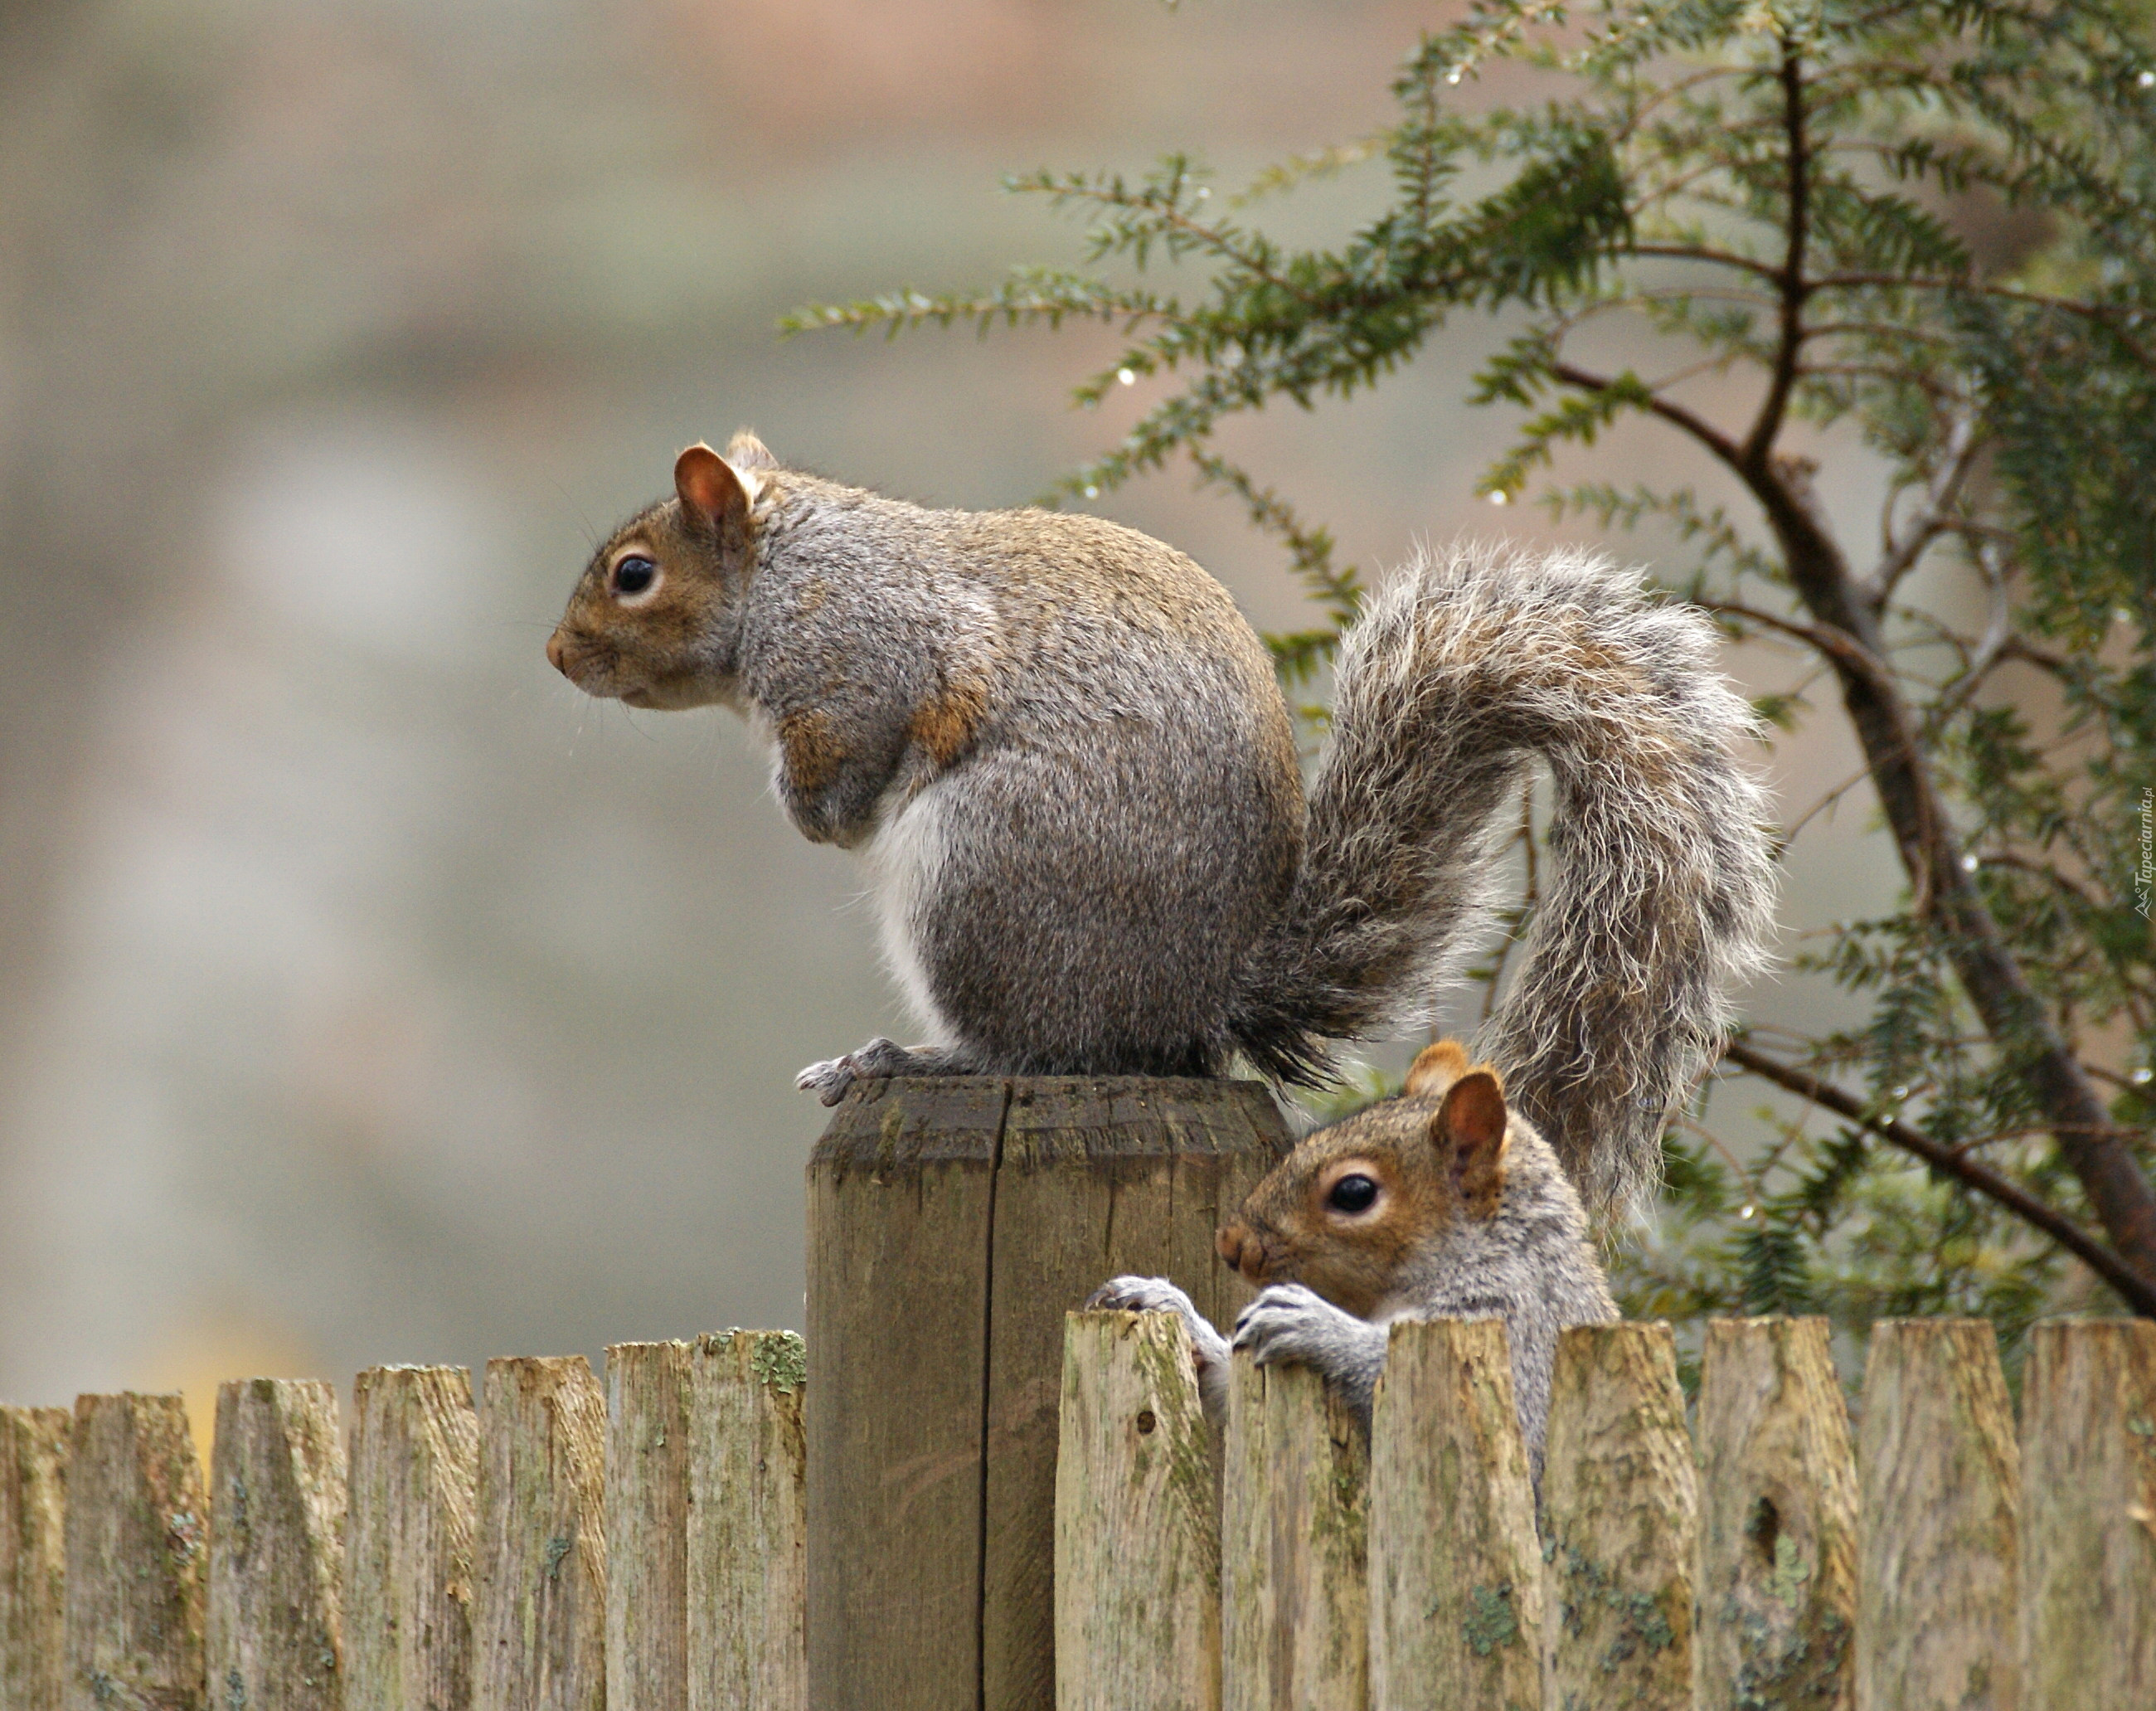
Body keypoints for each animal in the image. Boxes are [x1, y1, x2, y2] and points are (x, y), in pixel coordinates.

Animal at [547, 433, 1776, 1458]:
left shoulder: (860, 661)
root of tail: (1201, 995)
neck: (790, 567)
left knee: (1033, 1049)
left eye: (633, 573)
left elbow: (848, 772)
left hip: (980, 873)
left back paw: (901, 1058)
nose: (557, 656)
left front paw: (807, 810)